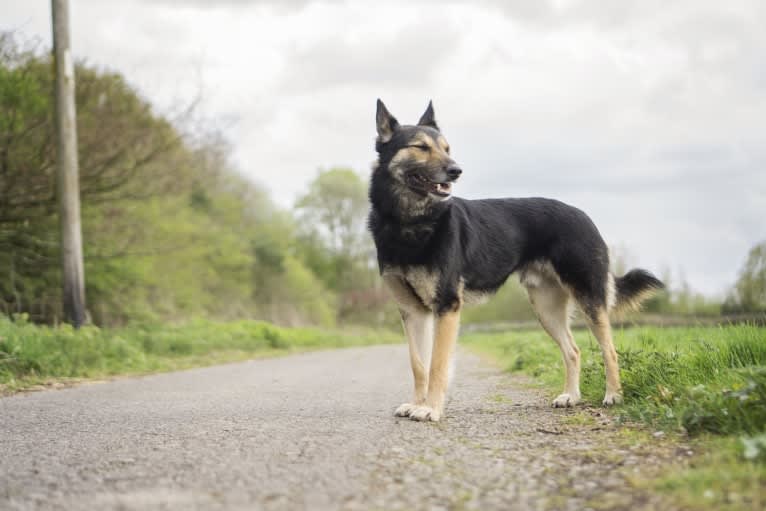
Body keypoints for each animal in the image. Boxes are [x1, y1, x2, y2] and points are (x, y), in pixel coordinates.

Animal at [368, 100, 664, 424]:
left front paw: (431, 408)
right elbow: (418, 364)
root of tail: (582, 215)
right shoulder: (413, 312)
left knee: (609, 350)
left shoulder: (447, 306)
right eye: (421, 147)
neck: (410, 222)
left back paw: (613, 395)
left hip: (588, 298)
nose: (456, 170)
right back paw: (570, 396)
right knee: (573, 350)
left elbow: (437, 365)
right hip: (546, 309)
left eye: (446, 148)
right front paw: (416, 404)